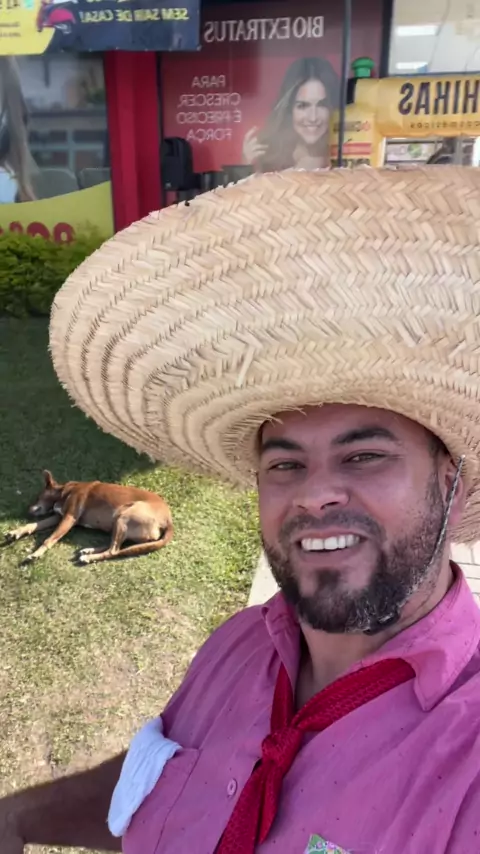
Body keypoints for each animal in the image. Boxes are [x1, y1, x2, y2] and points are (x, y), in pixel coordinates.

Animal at [4, 470, 173, 565]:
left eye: (37, 497)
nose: (27, 510)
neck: (65, 491)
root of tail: (169, 521)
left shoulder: (69, 518)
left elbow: (49, 539)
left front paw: (36, 554)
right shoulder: (59, 517)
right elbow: (33, 525)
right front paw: (16, 532)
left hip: (124, 515)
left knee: (114, 550)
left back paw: (89, 558)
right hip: (118, 523)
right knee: (116, 546)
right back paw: (89, 550)